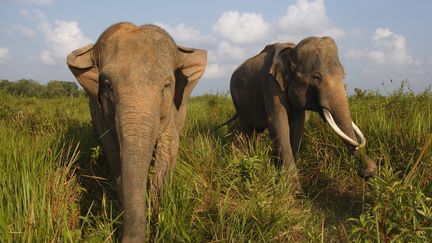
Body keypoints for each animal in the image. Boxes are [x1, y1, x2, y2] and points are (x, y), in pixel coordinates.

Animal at [66, 22, 207, 241]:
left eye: (167, 85)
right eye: (107, 85)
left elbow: (168, 149)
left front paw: (158, 220)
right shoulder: (101, 116)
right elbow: (114, 152)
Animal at [218, 37, 376, 191]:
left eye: (343, 74)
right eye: (316, 77)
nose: (367, 170)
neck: (291, 52)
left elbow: (298, 127)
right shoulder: (270, 86)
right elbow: (279, 125)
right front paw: (294, 190)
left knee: (257, 131)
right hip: (237, 102)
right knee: (248, 131)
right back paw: (251, 156)